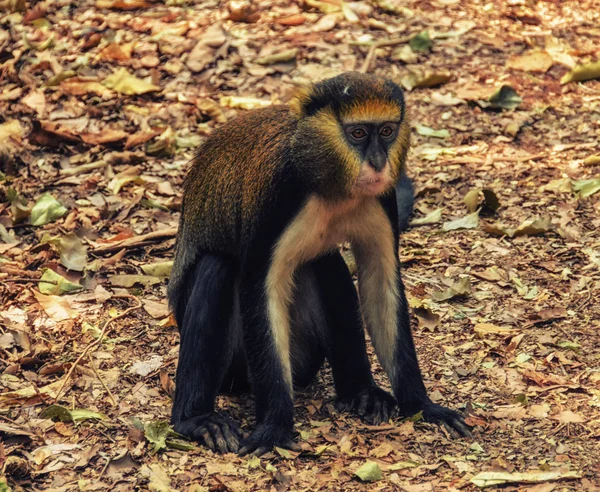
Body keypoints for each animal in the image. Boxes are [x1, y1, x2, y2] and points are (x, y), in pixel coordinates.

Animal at [166, 71, 472, 456]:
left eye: (387, 131)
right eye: (358, 134)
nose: (378, 163)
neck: (330, 182)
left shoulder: (382, 197)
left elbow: (380, 280)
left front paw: (421, 405)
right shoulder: (278, 192)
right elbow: (260, 287)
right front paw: (274, 428)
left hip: (305, 358)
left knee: (327, 265)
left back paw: (360, 392)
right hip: (237, 368)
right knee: (215, 267)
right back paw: (195, 419)